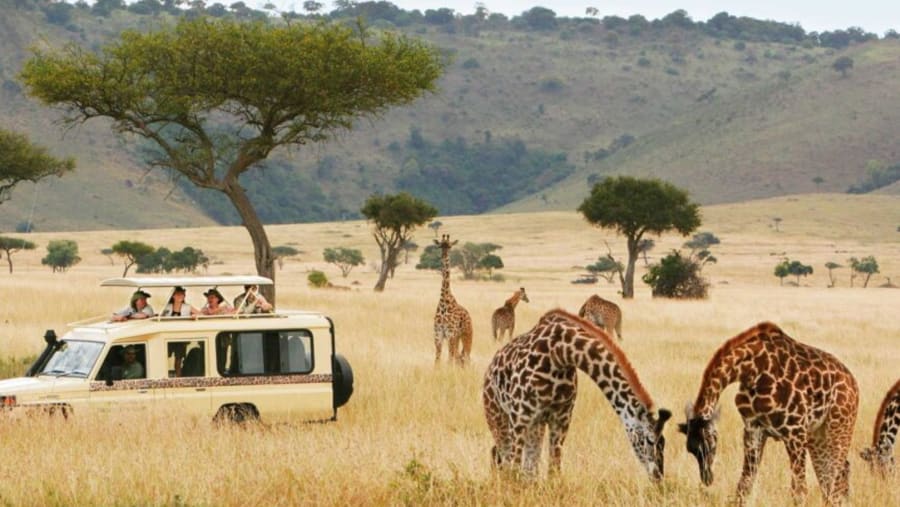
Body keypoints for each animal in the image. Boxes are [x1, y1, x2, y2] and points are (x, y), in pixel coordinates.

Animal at [433, 234, 473, 366]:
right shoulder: (438, 334)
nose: (444, 256)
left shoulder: (450, 334)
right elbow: (437, 360)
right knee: (459, 357)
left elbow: (449, 360)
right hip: (457, 338)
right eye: (440, 245)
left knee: (466, 357)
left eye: (450, 246)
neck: (444, 301)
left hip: (466, 334)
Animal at [483, 309, 671, 480]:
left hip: (535, 426)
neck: (560, 353)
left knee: (528, 469)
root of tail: (489, 368)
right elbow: (514, 470)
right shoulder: (519, 418)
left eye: (663, 442)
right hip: (498, 417)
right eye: (649, 440)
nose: (658, 477)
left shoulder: (561, 419)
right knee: (503, 459)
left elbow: (553, 472)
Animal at [678, 322, 859, 506]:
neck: (752, 371)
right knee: (832, 476)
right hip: (817, 434)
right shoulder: (753, 428)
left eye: (709, 445)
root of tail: (853, 383)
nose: (707, 478)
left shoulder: (795, 430)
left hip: (838, 427)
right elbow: (744, 483)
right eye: (691, 450)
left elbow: (799, 491)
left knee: (836, 475)